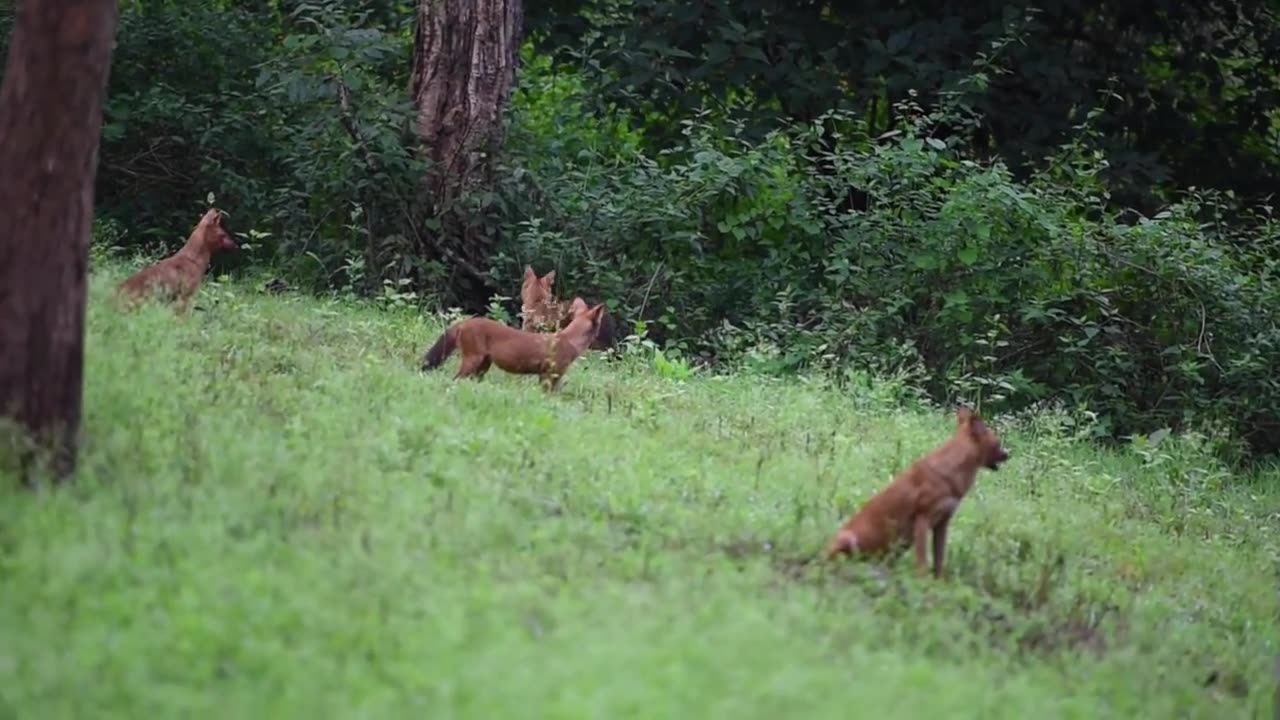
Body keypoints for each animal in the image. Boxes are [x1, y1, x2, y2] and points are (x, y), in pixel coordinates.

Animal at [414, 294, 604, 389]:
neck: (570, 340)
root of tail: (464, 322)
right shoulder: (550, 374)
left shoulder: (546, 375)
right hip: (473, 360)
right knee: (455, 379)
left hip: (483, 366)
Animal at [824, 404, 1013, 576]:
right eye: (998, 443)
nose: (1008, 454)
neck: (953, 475)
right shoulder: (922, 518)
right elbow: (922, 562)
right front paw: (923, 582)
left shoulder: (943, 522)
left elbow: (939, 560)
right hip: (848, 539)